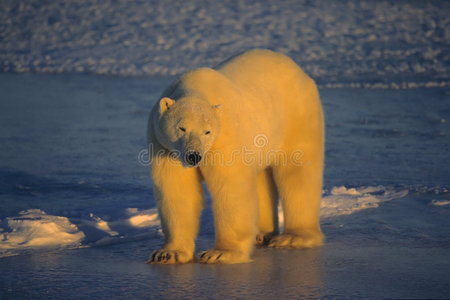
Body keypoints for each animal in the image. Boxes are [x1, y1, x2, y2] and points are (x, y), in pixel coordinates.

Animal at [147, 48, 324, 264]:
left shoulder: (225, 135)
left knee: (298, 173)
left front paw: (220, 253)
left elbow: (230, 186)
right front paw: (168, 253)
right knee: (261, 178)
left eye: (207, 132)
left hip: (296, 115)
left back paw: (294, 237)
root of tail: (298, 70)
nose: (194, 156)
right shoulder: (164, 145)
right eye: (181, 128)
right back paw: (262, 233)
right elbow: (177, 188)